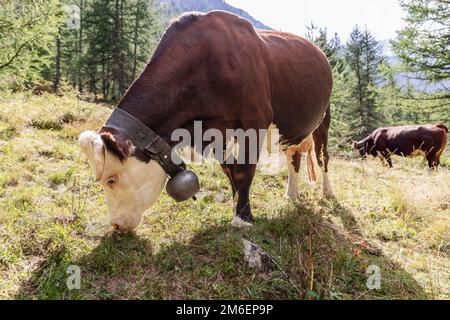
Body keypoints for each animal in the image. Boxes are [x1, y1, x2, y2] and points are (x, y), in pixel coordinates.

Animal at [78, 11, 330, 232]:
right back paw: (292, 195)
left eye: (111, 180)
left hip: (324, 120)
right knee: (293, 157)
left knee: (322, 157)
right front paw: (236, 206)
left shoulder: (255, 119)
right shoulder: (215, 131)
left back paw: (327, 193)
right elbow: (229, 169)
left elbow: (244, 170)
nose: (115, 225)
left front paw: (243, 218)